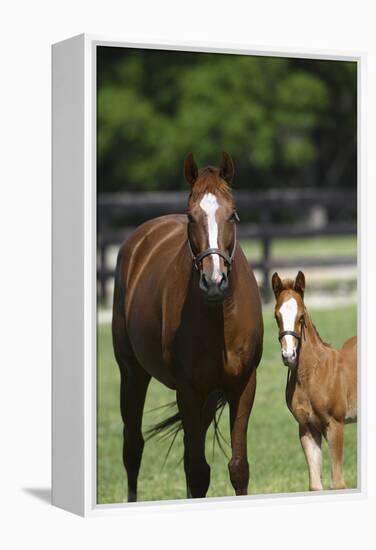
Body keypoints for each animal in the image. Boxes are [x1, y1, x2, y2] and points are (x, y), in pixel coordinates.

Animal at [272, 274, 356, 494]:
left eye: (301, 317)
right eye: (276, 316)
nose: (288, 355)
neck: (311, 375)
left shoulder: (335, 425)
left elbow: (338, 483)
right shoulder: (307, 428)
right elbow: (315, 485)